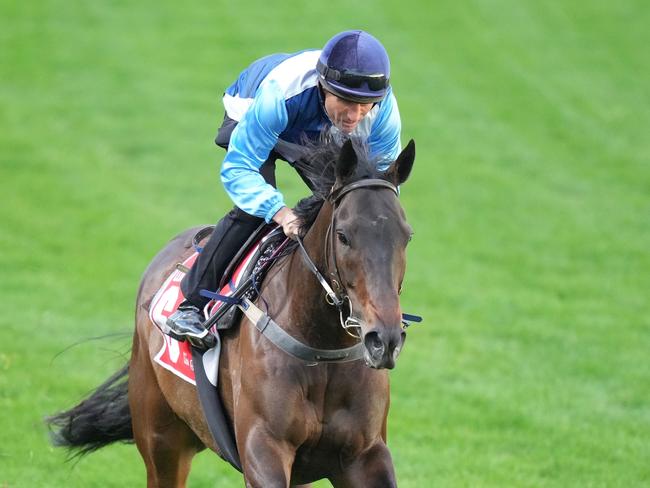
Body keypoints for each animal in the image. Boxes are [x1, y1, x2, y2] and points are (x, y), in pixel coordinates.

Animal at [49, 138, 416, 488]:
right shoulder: (262, 449)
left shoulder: (364, 455)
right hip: (161, 437)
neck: (321, 348)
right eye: (343, 235)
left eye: (407, 236)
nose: (384, 339)